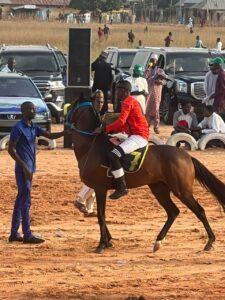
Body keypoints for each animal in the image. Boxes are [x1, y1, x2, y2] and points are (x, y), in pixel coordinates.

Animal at [69, 100, 225, 253]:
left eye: (71, 107)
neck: (90, 147)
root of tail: (186, 156)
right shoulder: (98, 189)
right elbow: (100, 214)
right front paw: (108, 242)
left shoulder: (100, 188)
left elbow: (101, 215)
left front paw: (101, 244)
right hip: (159, 189)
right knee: (173, 212)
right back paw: (158, 241)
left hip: (182, 191)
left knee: (199, 211)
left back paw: (210, 242)